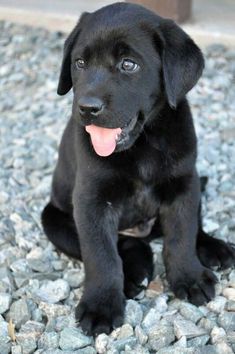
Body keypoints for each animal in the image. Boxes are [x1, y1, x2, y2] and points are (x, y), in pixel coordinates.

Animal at [41, 2, 234, 334]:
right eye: (80, 63)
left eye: (128, 65)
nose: (87, 108)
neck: (143, 143)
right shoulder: (91, 201)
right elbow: (102, 256)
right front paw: (101, 306)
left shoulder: (184, 184)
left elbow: (182, 234)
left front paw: (189, 277)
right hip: (53, 219)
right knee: (125, 244)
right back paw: (136, 272)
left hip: (194, 182)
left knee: (190, 225)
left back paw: (214, 248)